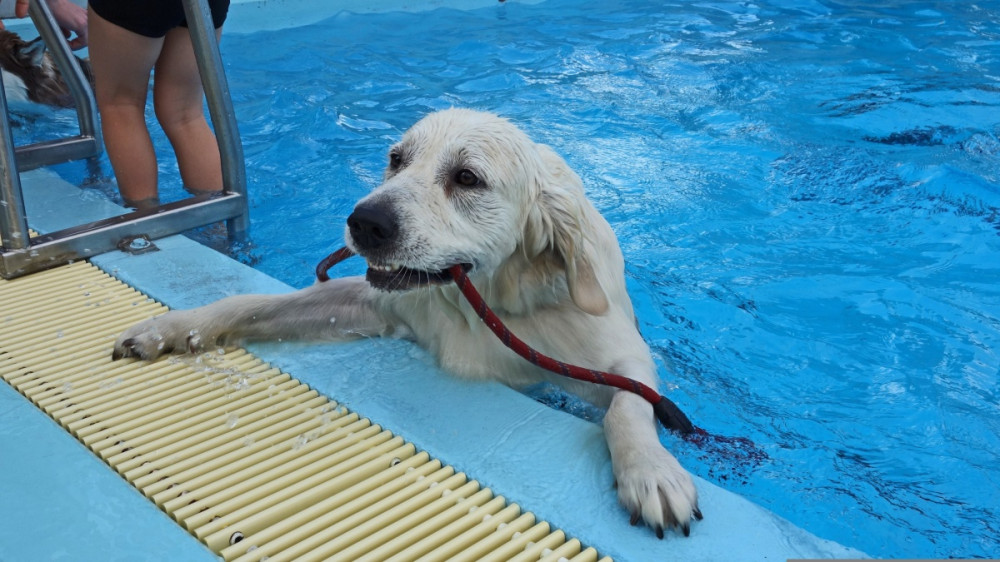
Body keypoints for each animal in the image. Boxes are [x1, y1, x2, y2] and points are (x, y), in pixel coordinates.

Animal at [113, 108, 700, 532]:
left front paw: (651, 471)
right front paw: (171, 328)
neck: (483, 301)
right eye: (396, 159)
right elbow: (252, 303)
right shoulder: (375, 305)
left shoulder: (616, 354)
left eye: (467, 177)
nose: (364, 222)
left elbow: (628, 405)